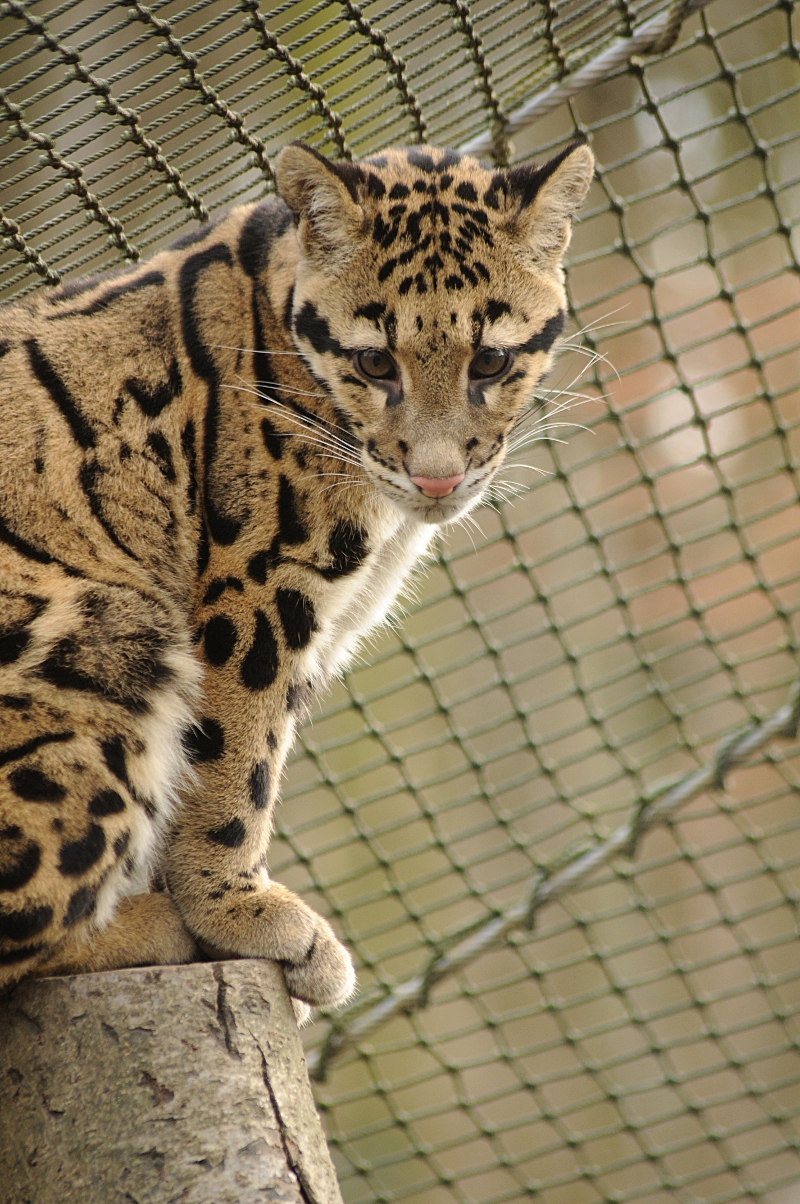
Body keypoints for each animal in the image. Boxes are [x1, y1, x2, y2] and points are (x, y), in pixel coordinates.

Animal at [0, 139, 594, 1009]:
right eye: (375, 362)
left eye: (490, 360)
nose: (439, 479)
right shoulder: (254, 590)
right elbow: (231, 764)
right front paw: (232, 907)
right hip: (109, 644)